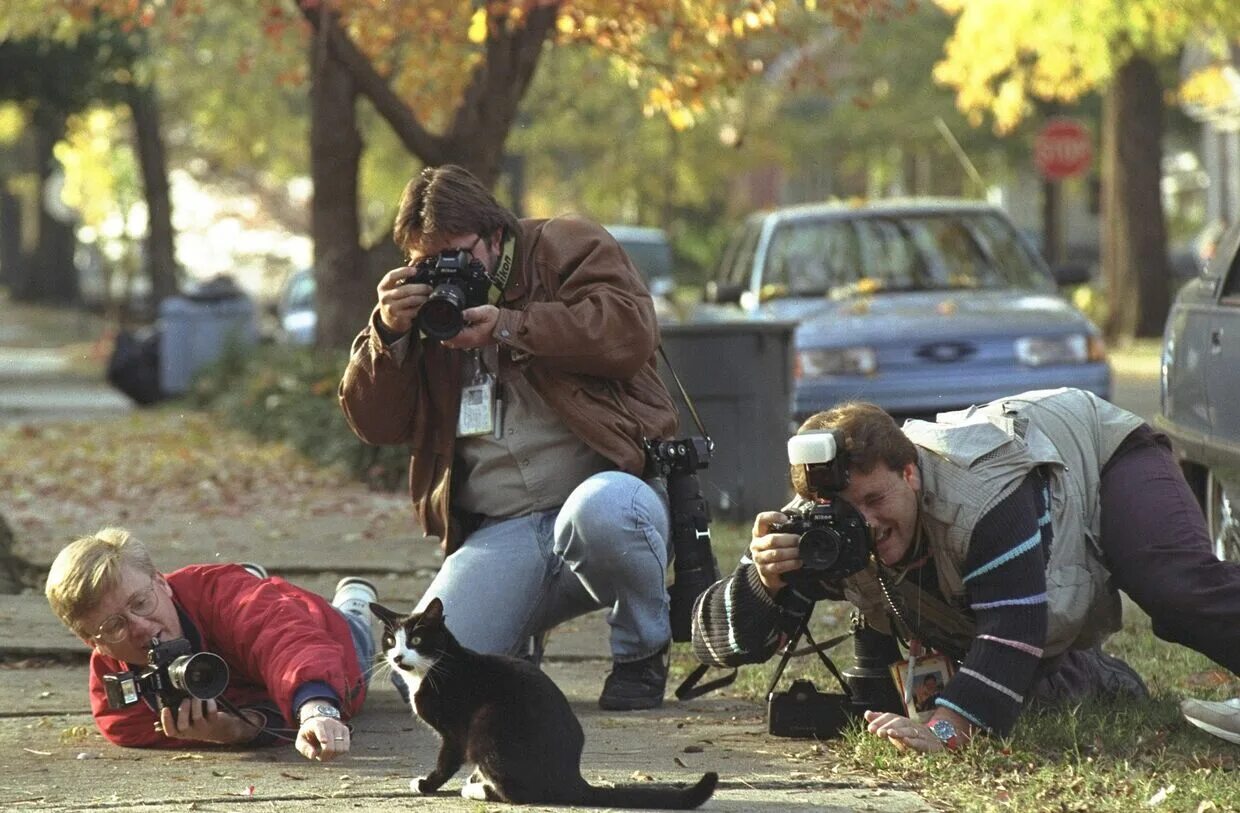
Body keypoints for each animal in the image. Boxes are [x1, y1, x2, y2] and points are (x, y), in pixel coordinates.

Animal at [369, 597, 719, 808]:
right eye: (390, 641)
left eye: (416, 640)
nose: (397, 657)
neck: (433, 669)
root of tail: (571, 777)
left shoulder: (457, 731)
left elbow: (447, 760)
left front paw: (427, 784)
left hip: (488, 722)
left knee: (519, 794)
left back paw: (476, 790)